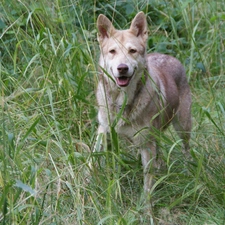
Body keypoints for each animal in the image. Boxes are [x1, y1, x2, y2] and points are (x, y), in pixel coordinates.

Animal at [95, 11, 192, 192]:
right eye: (112, 51)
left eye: (132, 51)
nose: (122, 68)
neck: (122, 102)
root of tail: (168, 56)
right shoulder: (104, 130)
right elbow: (93, 159)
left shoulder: (146, 144)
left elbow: (148, 181)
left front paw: (146, 200)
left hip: (183, 126)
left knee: (186, 148)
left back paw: (188, 170)